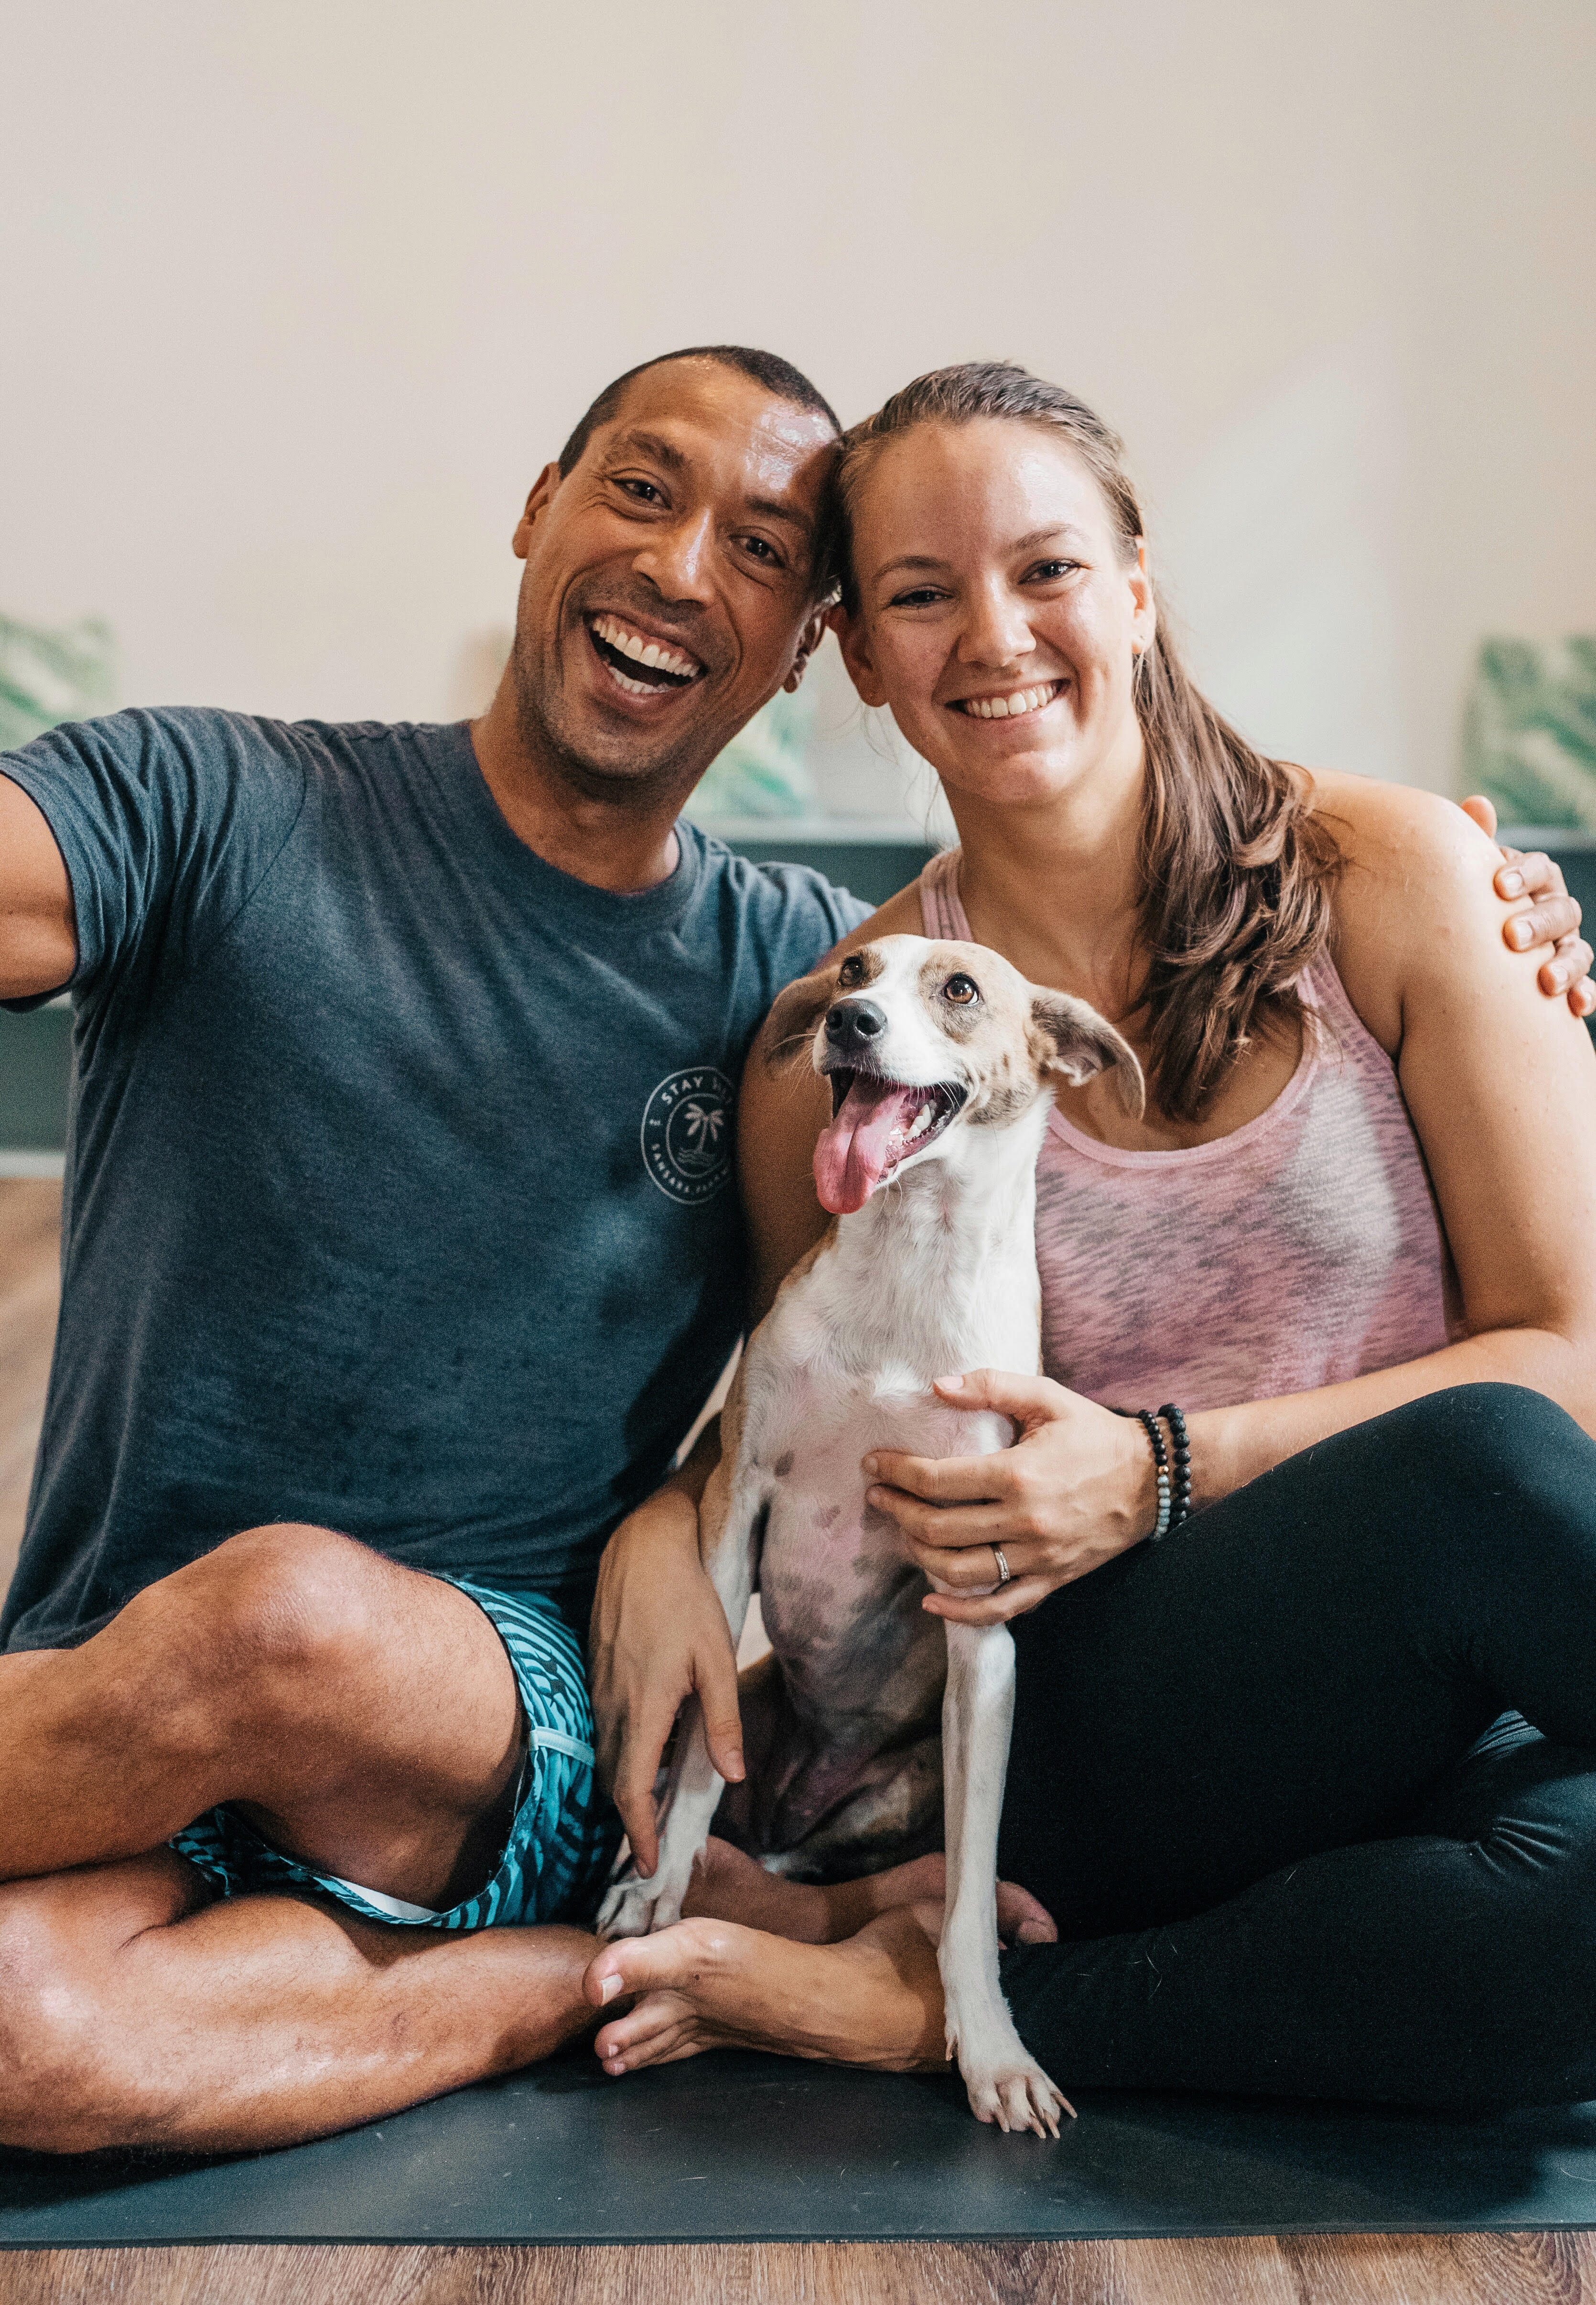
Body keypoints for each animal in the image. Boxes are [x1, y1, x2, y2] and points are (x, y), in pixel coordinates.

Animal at [599, 933, 1143, 2134]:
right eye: (853, 969)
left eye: (960, 990)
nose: (851, 1023)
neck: (909, 1257)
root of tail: (800, 1795)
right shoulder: (736, 1512)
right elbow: (695, 1758)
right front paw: (656, 1886)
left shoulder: (979, 1614)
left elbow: (972, 1877)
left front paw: (991, 2047)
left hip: (905, 1779)